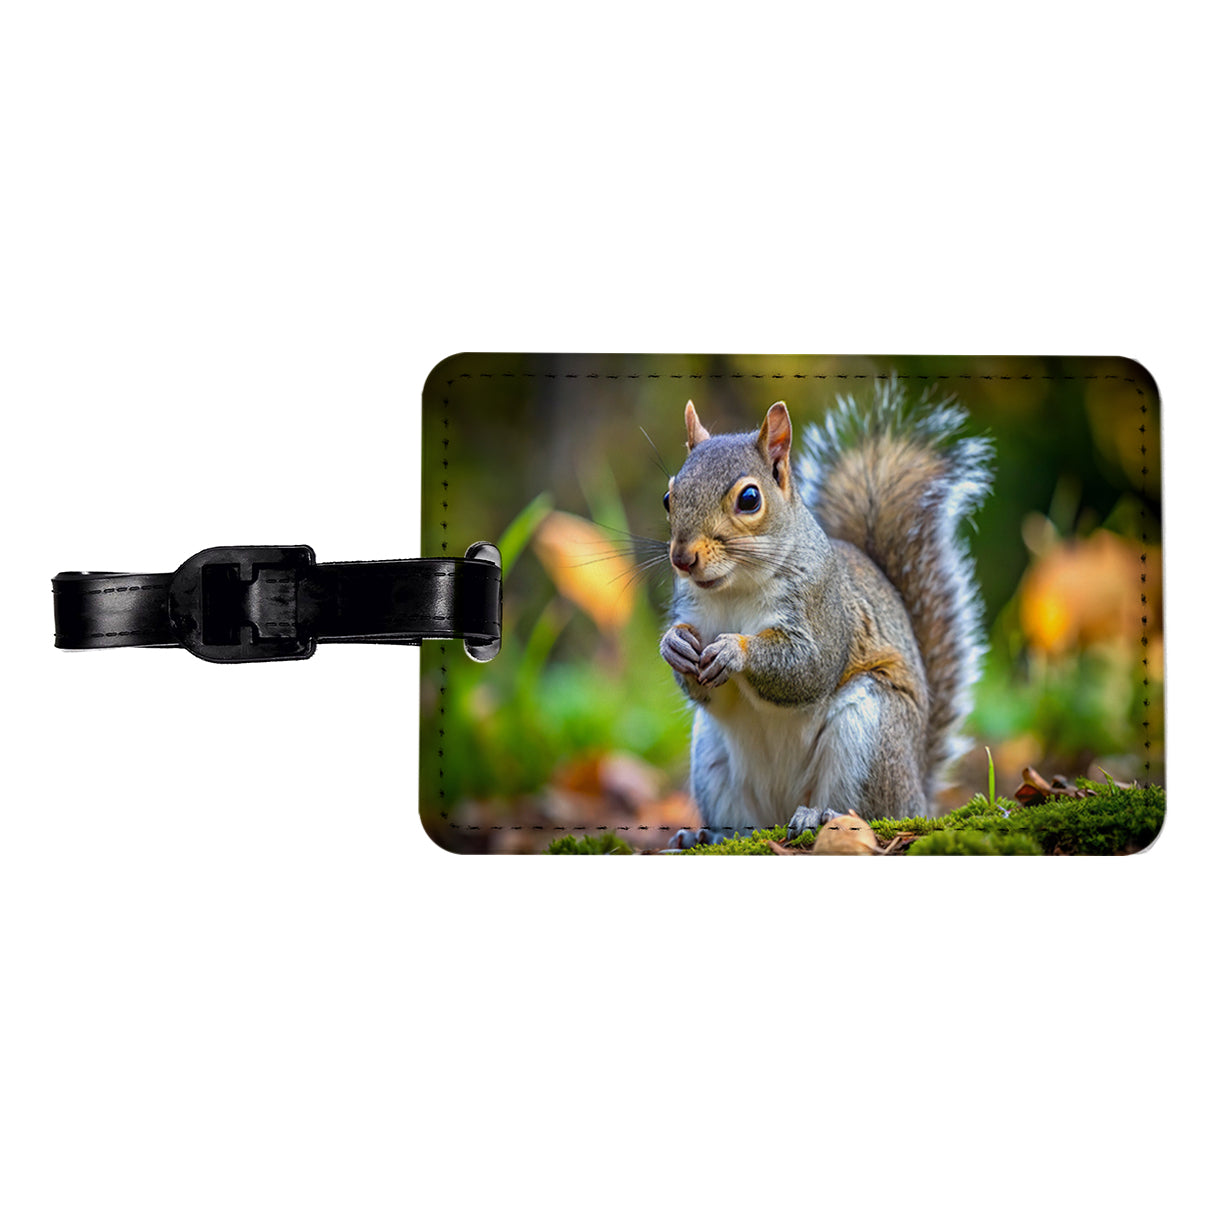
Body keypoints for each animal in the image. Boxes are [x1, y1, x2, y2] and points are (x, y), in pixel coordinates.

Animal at [659, 380, 993, 847]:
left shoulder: (824, 611)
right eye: (668, 497)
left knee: (870, 810)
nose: (682, 559)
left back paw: (819, 816)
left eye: (749, 499)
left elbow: (808, 668)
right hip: (712, 757)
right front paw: (673, 644)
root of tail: (918, 796)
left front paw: (735, 650)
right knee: (742, 827)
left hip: (870, 733)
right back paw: (703, 838)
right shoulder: (692, 610)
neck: (734, 589)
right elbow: (703, 690)